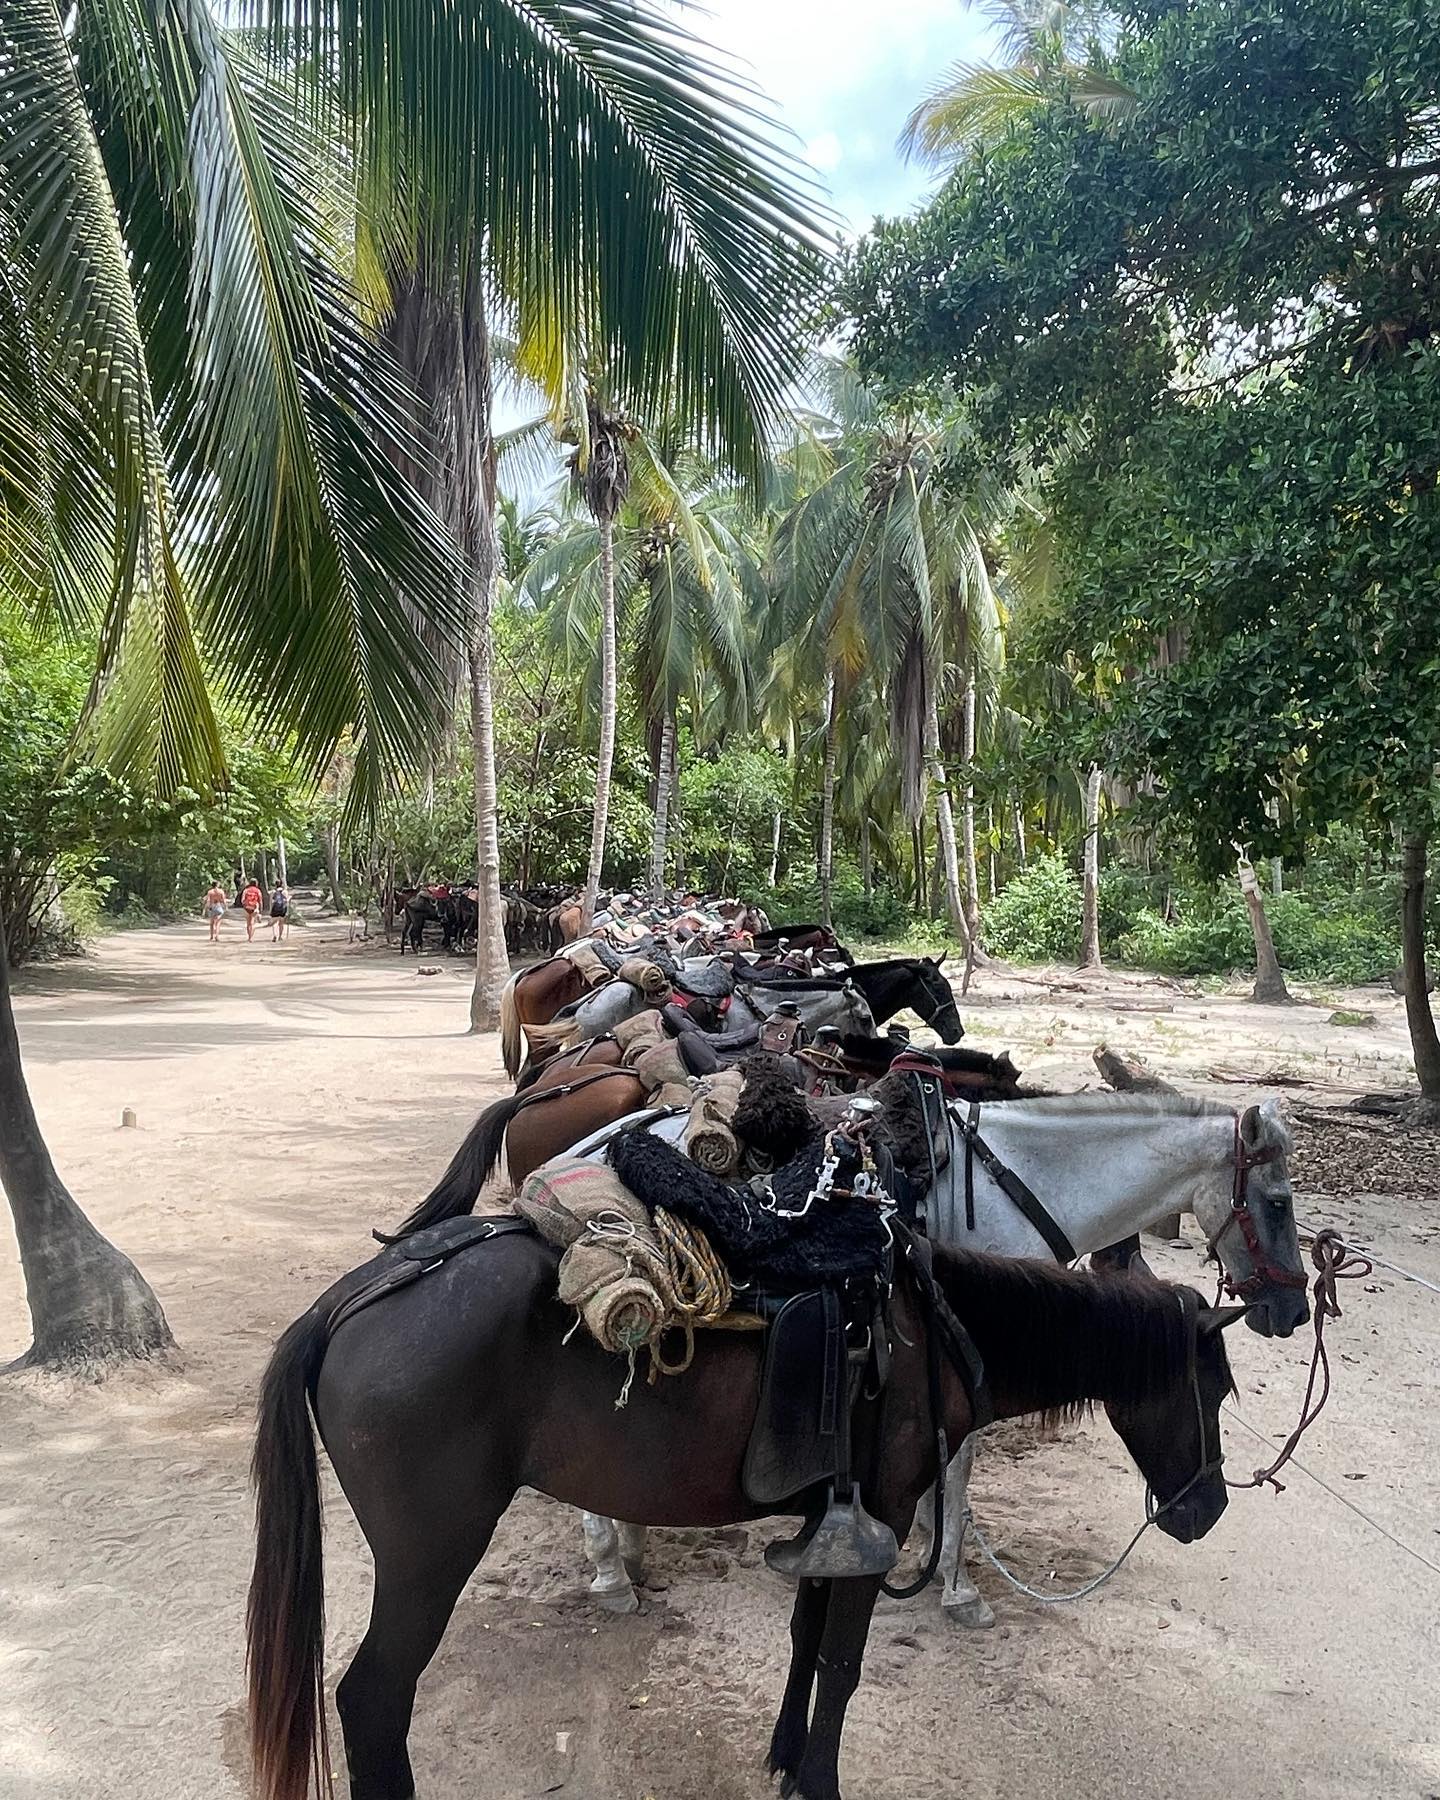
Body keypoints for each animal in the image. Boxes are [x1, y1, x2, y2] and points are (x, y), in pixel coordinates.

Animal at [244, 1231, 1238, 1800]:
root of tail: (354, 1296)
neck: (936, 1333)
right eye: (1218, 1390)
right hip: (429, 1561)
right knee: (373, 1700)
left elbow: (805, 1645)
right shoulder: (878, 1521)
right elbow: (842, 1665)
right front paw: (820, 1782)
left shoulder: (832, 1528)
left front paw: (786, 1761)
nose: (1207, 1508)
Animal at [572, 1087, 1303, 1627]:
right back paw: (610, 1573)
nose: (1294, 1310)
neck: (1025, 1184)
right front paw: (956, 1584)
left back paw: (628, 1550)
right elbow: (960, 1470)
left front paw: (924, 1547)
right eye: (1277, 1202)